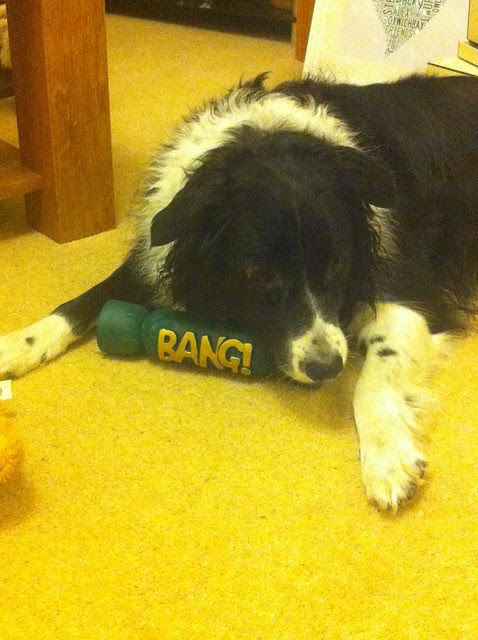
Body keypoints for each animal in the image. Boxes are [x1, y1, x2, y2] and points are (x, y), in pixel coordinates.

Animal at [2, 72, 478, 511]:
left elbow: (374, 378)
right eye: (261, 275)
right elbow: (84, 300)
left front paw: (387, 459)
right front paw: (18, 345)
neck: (264, 136)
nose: (326, 368)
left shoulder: (406, 294)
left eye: (337, 265)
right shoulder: (158, 253)